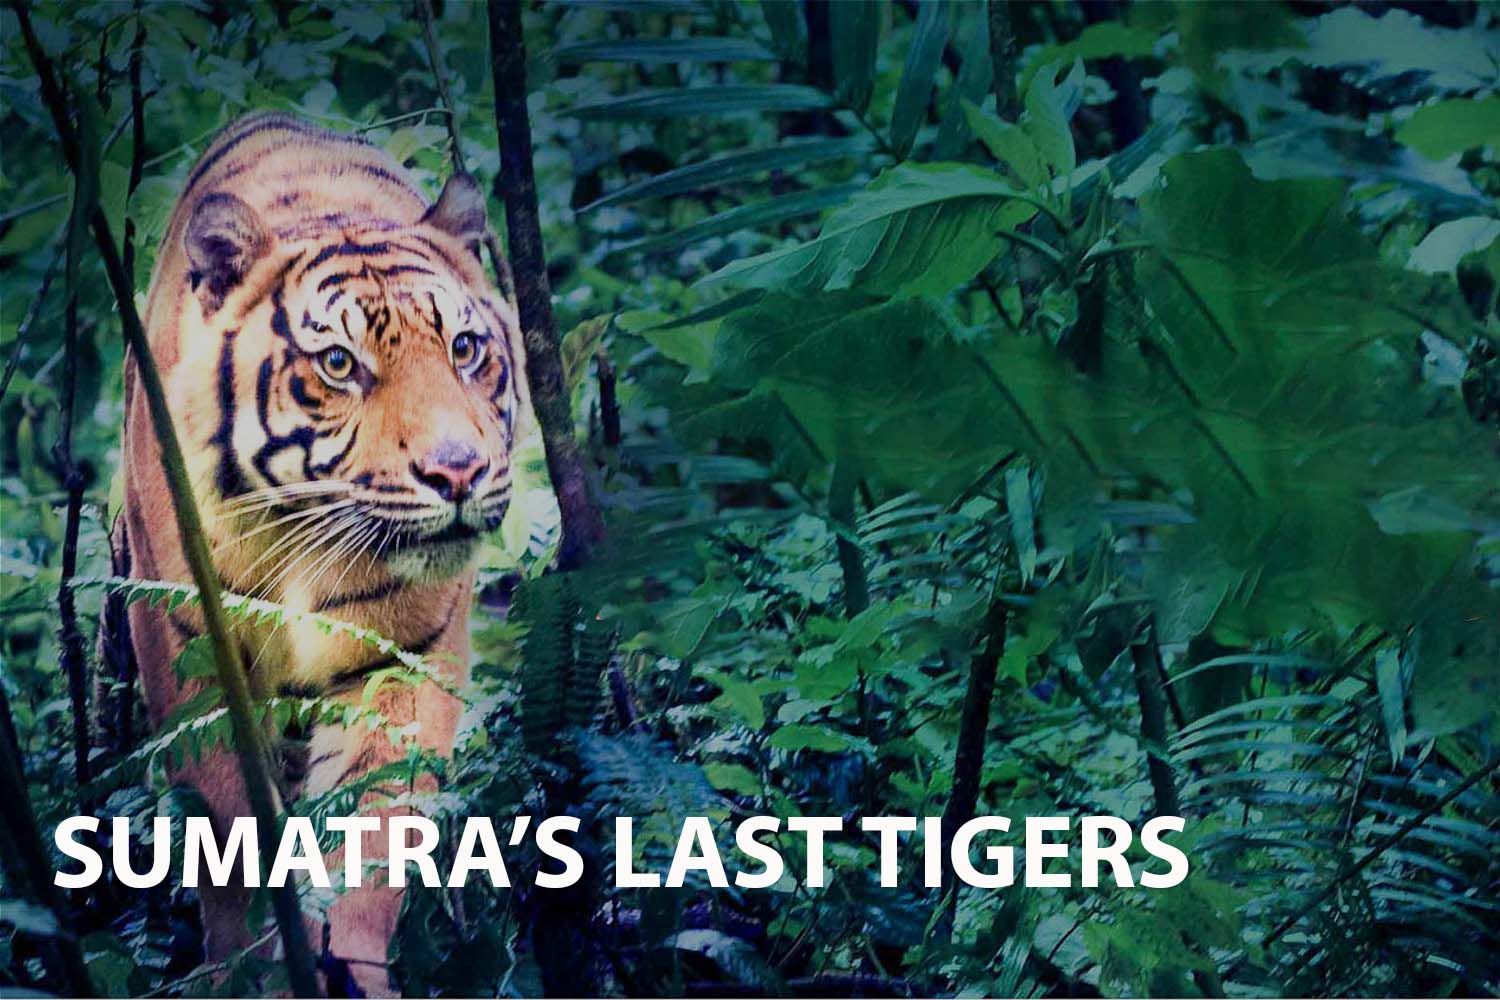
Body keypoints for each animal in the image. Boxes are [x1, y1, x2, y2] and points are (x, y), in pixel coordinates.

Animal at [118, 111, 527, 996]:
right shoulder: (190, 654)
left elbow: (373, 825)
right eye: (340, 365)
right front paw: (249, 968)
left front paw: (345, 962)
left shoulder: (402, 657)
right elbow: (231, 830)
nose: (459, 472)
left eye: (466, 349)